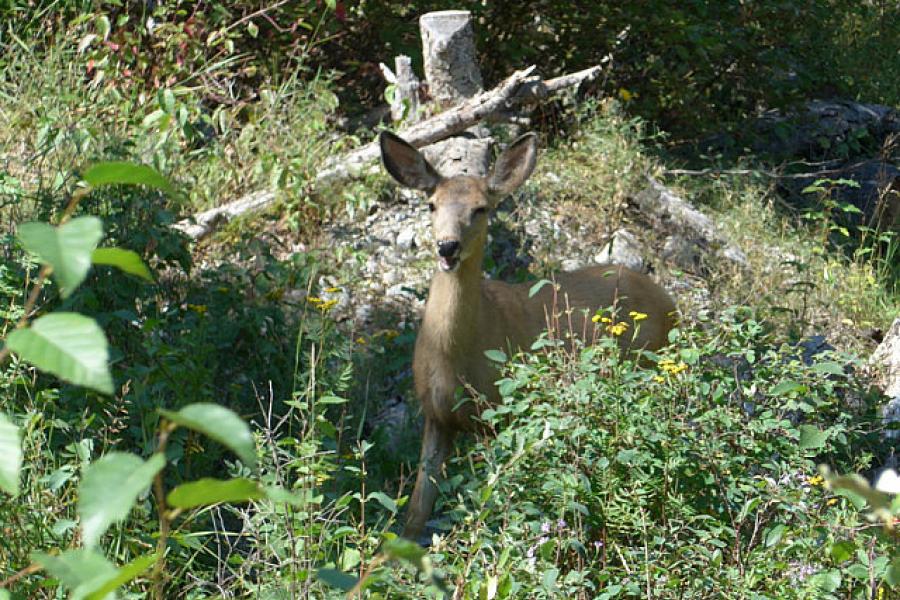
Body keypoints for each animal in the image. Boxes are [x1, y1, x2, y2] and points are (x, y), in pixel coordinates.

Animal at [376, 130, 680, 540]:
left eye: (481, 208)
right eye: (431, 205)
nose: (447, 246)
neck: (454, 355)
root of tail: (671, 303)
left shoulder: (499, 411)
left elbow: (490, 500)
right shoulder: (436, 415)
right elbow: (416, 511)